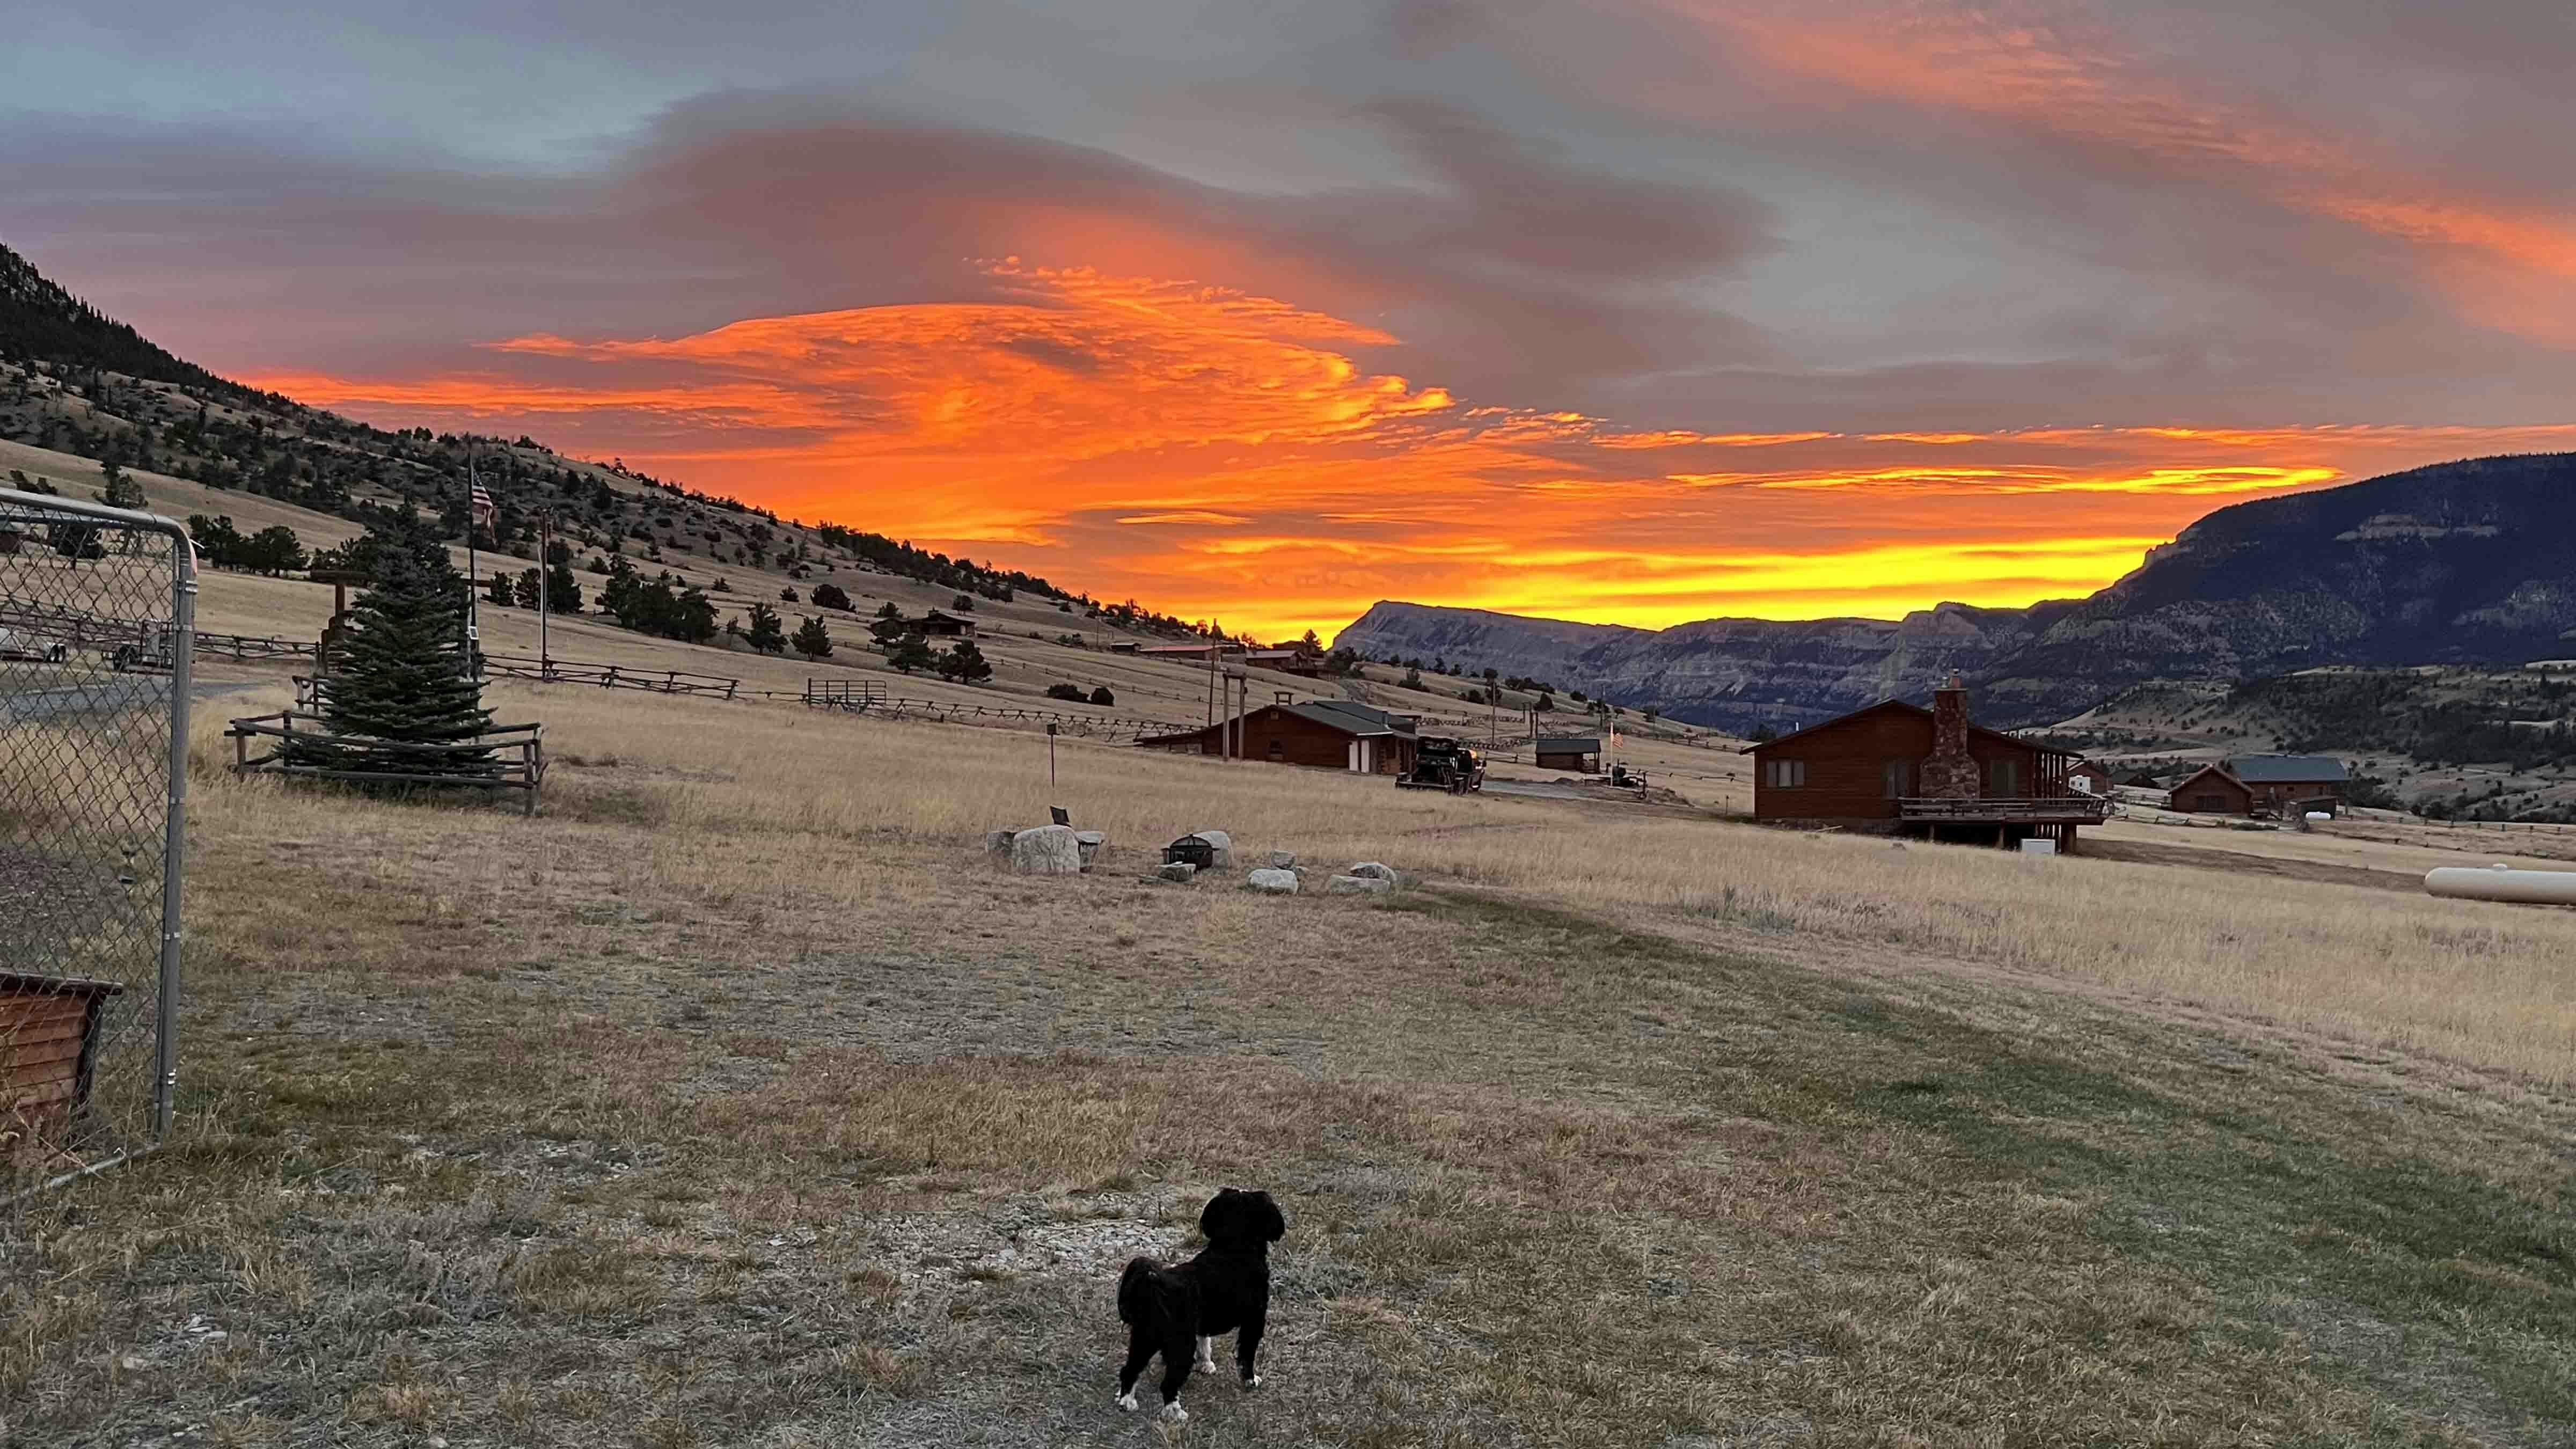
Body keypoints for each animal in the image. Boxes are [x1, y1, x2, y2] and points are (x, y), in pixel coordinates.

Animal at [1118, 1191, 1288, 1413]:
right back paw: (1175, 1412)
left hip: (1144, 1340)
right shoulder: (1254, 1320)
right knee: (1169, 1383)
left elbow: (1204, 1342)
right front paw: (1250, 1381)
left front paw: (1206, 1364)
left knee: (1130, 1370)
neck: (1234, 1248)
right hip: (1180, 1344)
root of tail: (1153, 1284)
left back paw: (1127, 1402)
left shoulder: (1202, 1322)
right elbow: (1246, 1356)